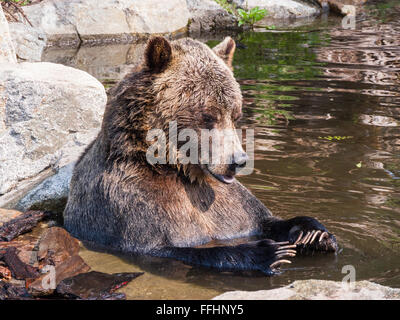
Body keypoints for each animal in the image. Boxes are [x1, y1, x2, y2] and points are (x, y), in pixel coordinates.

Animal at [65, 35, 338, 276]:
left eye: (235, 114)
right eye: (208, 116)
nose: (238, 162)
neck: (178, 171)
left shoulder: (231, 205)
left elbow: (263, 219)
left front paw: (314, 232)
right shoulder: (129, 201)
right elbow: (163, 248)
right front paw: (268, 253)